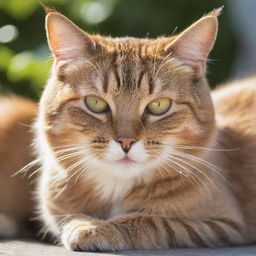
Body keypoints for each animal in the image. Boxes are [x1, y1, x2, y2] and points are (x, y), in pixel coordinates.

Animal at [0, 6, 256, 252]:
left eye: (159, 106)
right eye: (96, 103)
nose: (126, 141)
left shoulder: (222, 224)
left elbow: (152, 221)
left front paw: (97, 228)